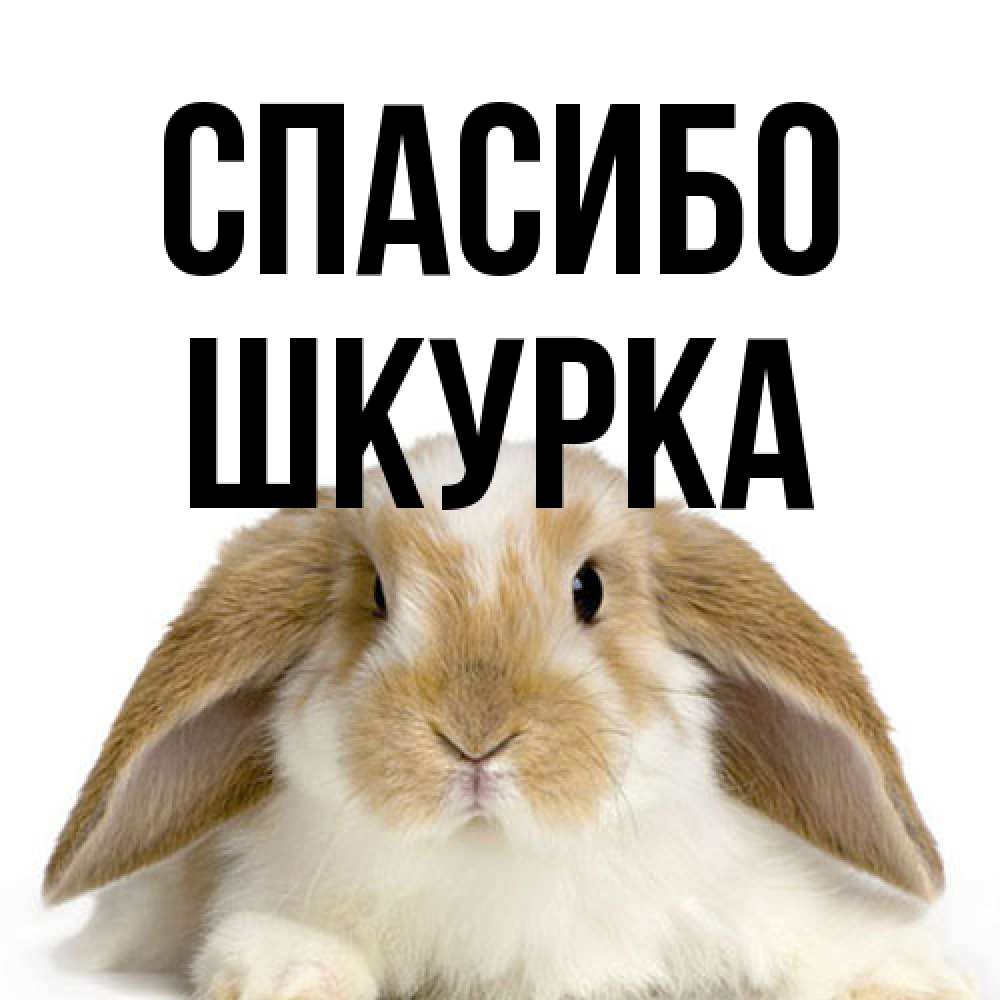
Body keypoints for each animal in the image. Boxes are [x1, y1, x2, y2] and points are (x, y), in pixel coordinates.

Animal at [45, 437, 975, 1000]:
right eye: (376, 595)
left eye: (589, 589)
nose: (475, 737)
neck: (495, 857)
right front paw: (290, 977)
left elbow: (817, 939)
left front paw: (909, 977)